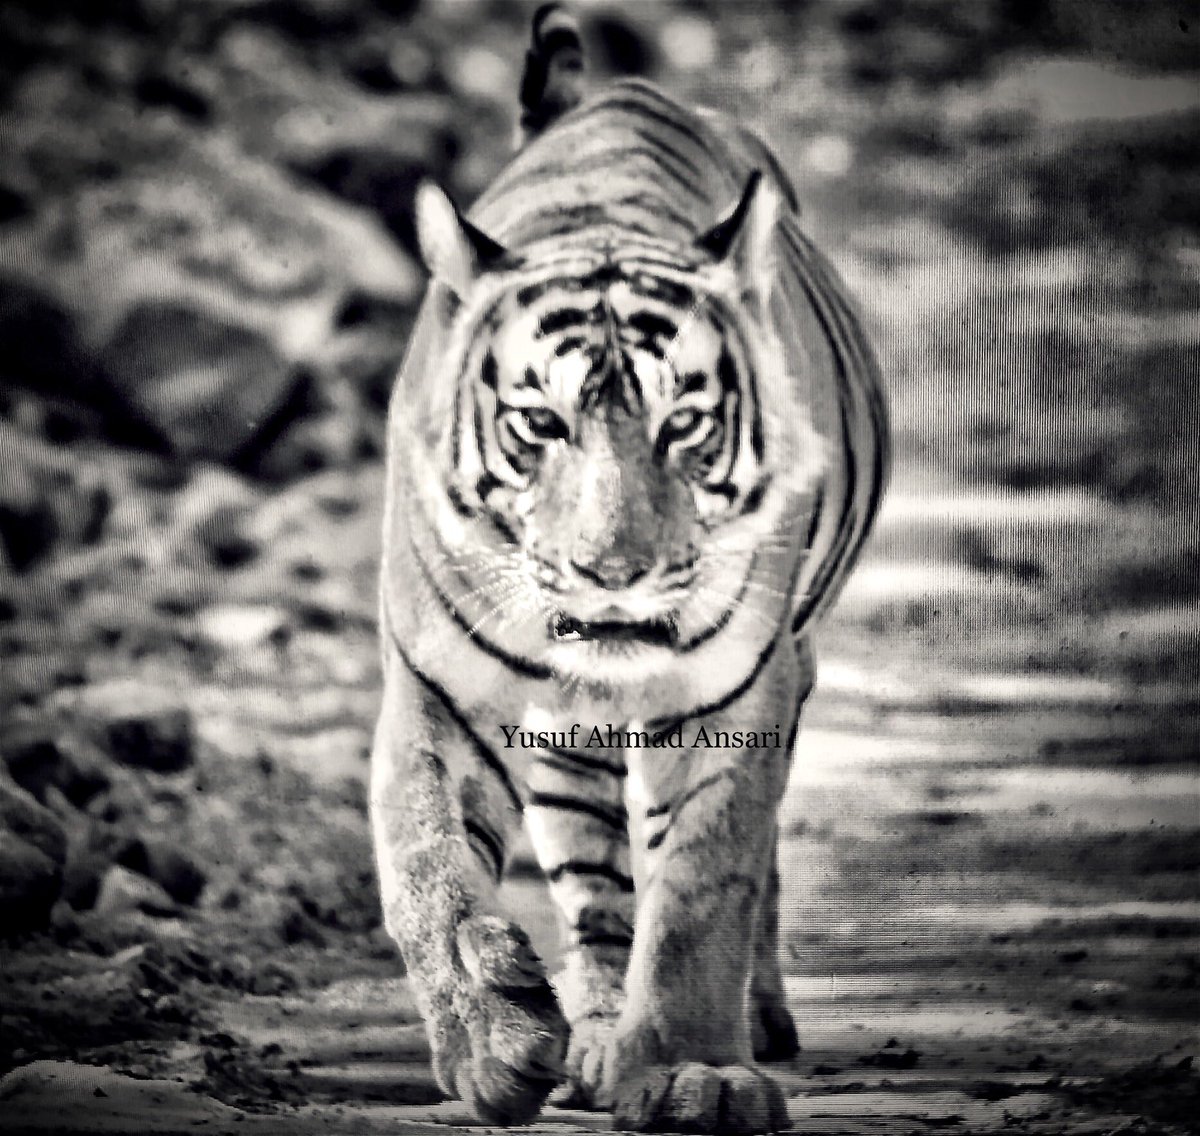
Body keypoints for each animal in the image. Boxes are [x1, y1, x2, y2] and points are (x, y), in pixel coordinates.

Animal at [369, 5, 888, 1133]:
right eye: (538, 423)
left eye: (683, 424)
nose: (611, 571)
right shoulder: (433, 686)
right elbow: (423, 862)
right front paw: (491, 1039)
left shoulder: (737, 692)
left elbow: (702, 887)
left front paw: (697, 1074)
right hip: (568, 739)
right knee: (596, 876)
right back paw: (596, 1035)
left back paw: (748, 1021)